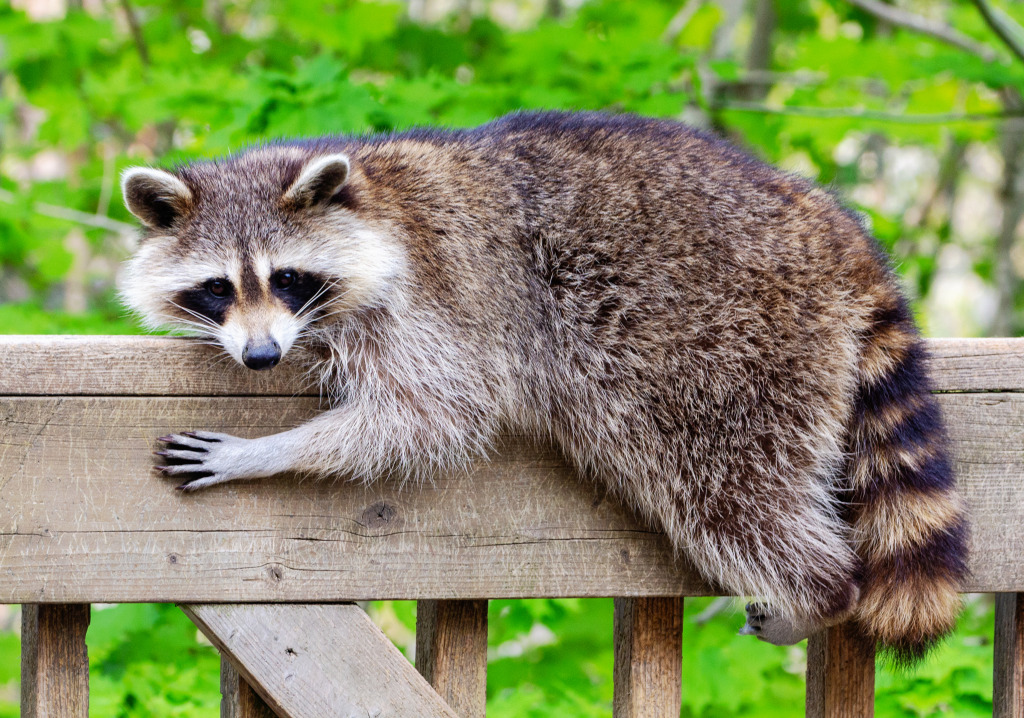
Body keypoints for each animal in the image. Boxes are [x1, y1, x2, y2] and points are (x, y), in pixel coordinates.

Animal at [119, 110, 966, 659]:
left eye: (288, 278)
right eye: (218, 288)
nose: (261, 357)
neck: (368, 198)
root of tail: (831, 226)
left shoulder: (434, 302)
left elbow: (432, 415)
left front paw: (265, 450)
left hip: (729, 346)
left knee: (727, 487)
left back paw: (819, 592)